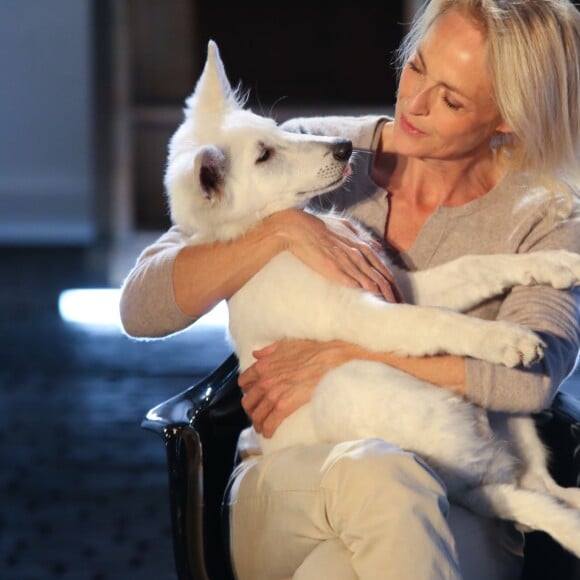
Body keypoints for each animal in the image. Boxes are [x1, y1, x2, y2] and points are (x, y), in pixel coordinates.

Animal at [164, 40, 580, 556]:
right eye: (264, 156)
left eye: (273, 130)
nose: (344, 148)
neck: (274, 235)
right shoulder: (366, 316)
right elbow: (435, 321)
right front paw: (506, 338)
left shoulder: (399, 283)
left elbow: (475, 266)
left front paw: (555, 263)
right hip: (349, 386)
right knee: (511, 492)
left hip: (514, 420)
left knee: (541, 487)